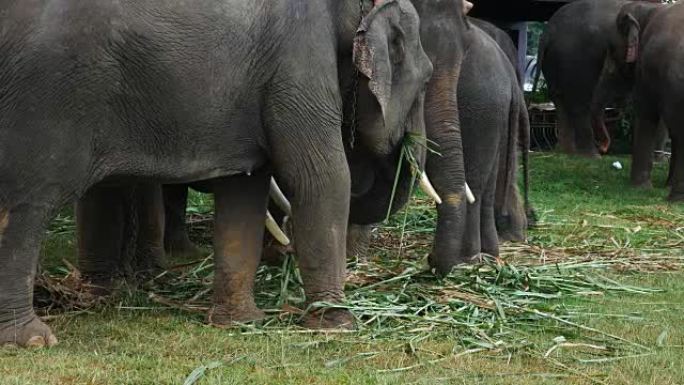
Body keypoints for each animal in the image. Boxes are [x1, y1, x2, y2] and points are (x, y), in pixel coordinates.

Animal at [0, 0, 432, 348]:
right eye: (428, 77)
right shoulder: (300, 64)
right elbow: (321, 178)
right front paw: (338, 327)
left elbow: (244, 193)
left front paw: (239, 323)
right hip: (46, 101)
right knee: (25, 207)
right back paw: (32, 340)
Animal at [592, 1, 684, 201]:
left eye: (611, 49)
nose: (603, 148)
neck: (649, 8)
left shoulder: (644, 71)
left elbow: (645, 113)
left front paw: (639, 188)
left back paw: (675, 198)